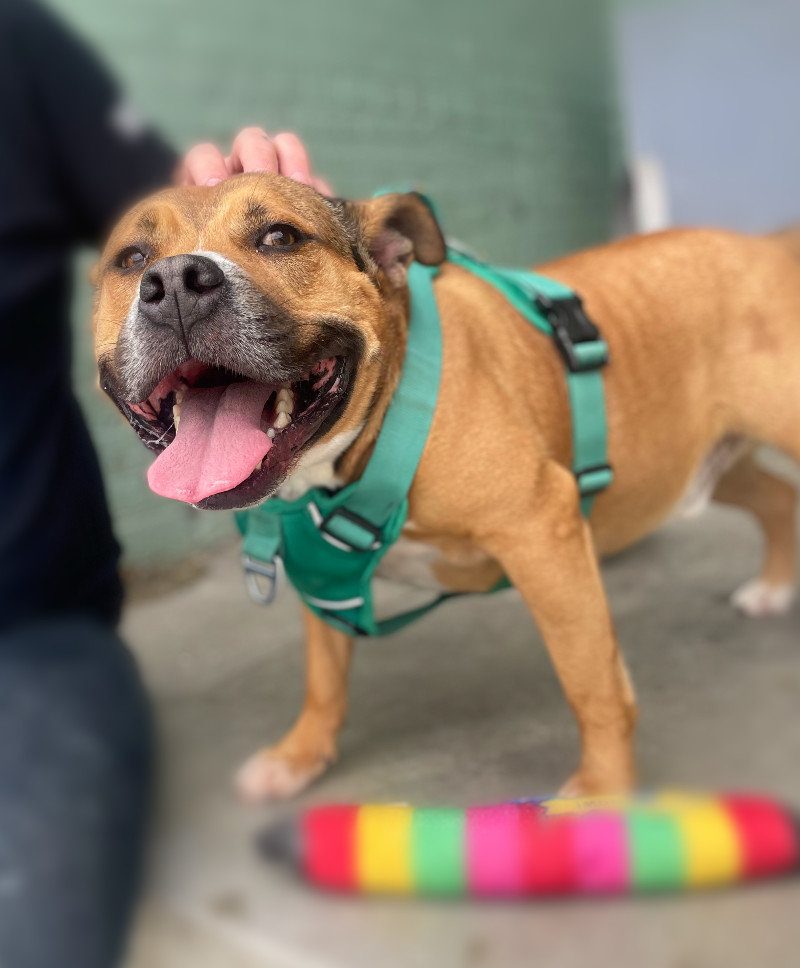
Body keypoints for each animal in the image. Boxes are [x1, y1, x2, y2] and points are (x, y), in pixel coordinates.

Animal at [94, 172, 800, 800]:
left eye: (280, 237)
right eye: (131, 259)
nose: (176, 283)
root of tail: (765, 245)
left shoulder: (542, 535)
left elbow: (592, 682)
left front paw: (604, 793)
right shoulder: (319, 574)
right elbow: (324, 680)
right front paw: (299, 758)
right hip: (700, 463)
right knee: (779, 498)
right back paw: (773, 588)